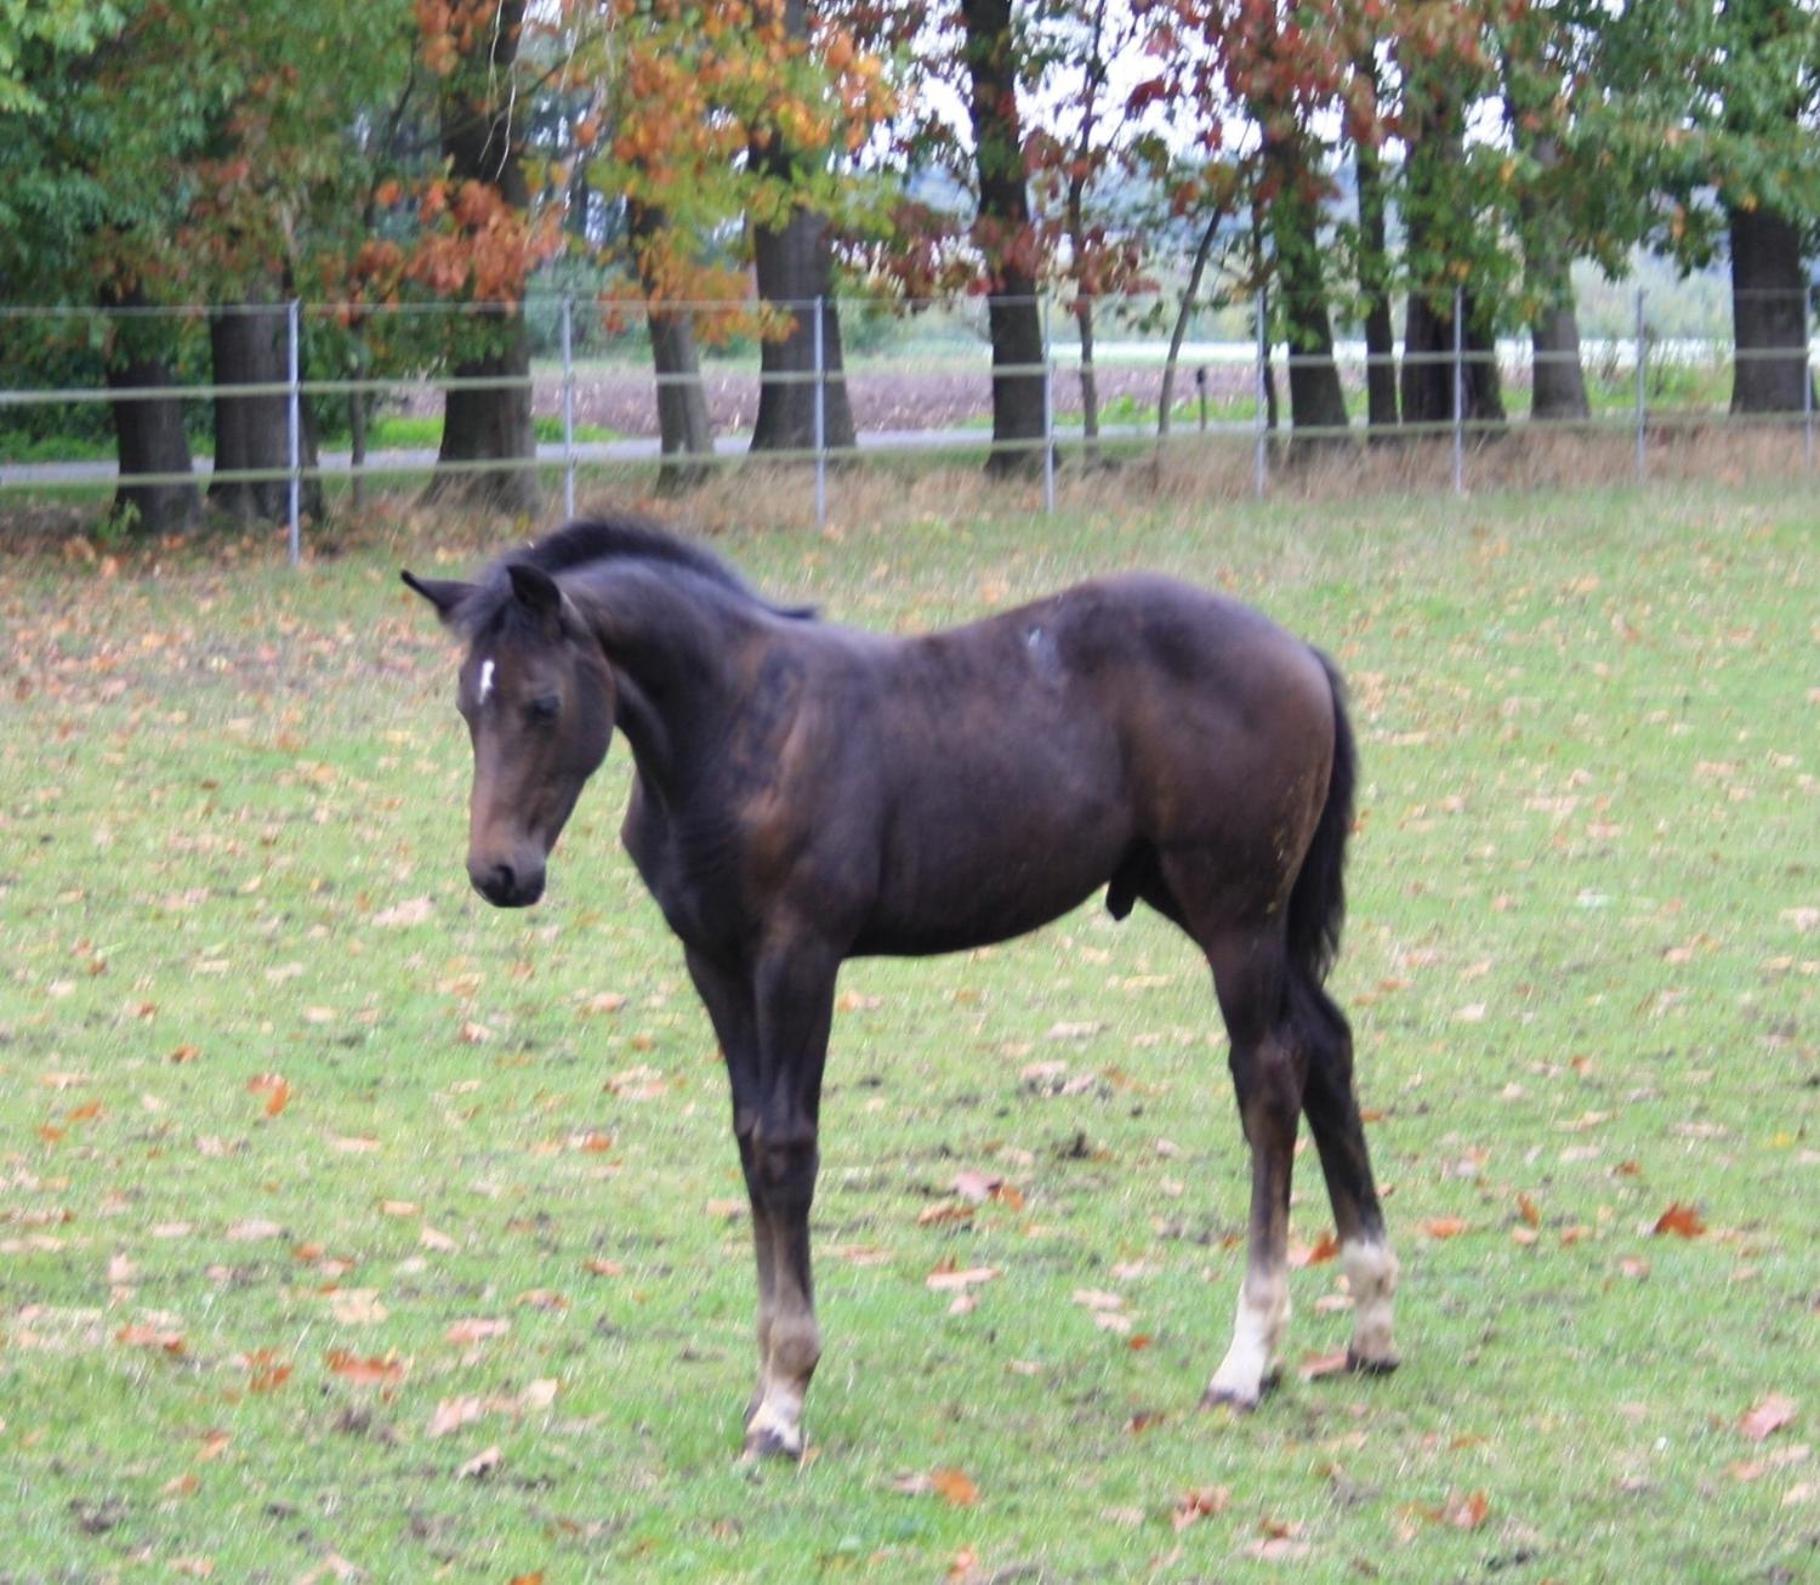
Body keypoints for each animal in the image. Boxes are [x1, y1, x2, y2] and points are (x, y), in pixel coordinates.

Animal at [405, 520, 1397, 1463]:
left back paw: (1248, 1357)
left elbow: (785, 1146)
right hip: (1212, 908)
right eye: (466, 704)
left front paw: (786, 1401)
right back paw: (1371, 1323)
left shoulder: (800, 955)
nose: (500, 873)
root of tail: (1298, 649)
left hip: (1235, 916)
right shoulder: (713, 961)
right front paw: (764, 1381)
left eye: (542, 703)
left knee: (1269, 1075)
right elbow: (749, 1139)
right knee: (1327, 1047)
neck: (743, 724)